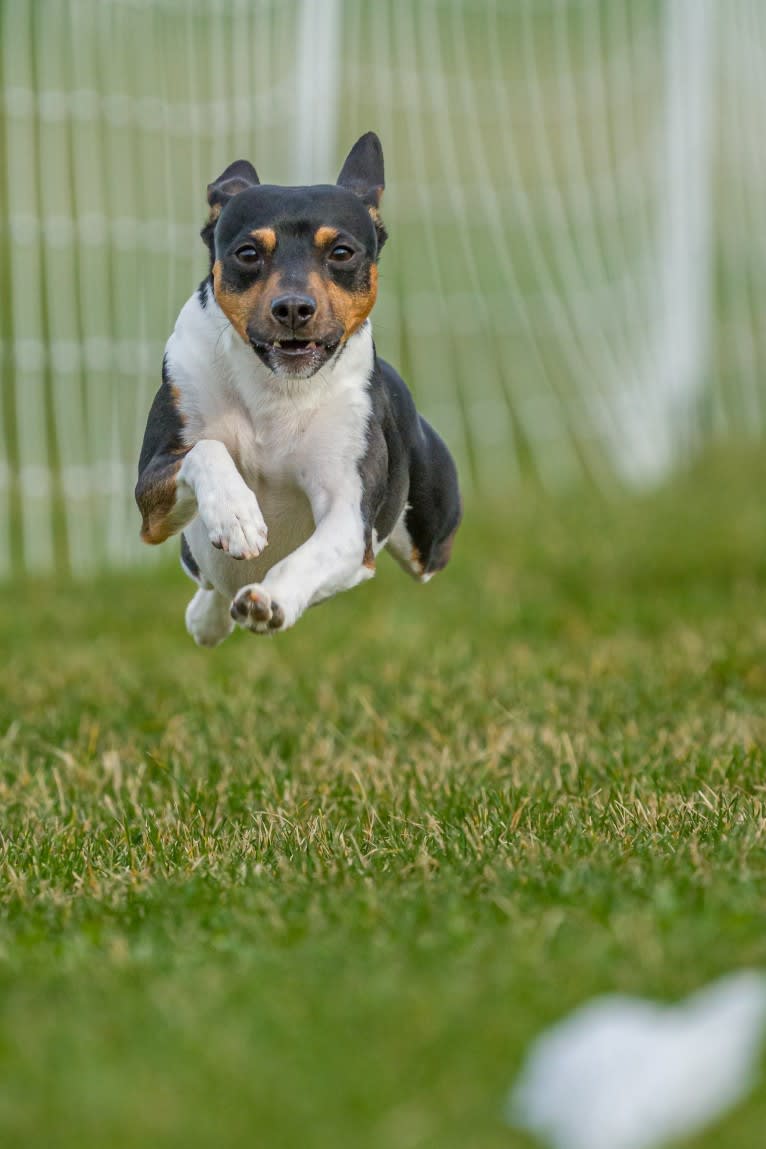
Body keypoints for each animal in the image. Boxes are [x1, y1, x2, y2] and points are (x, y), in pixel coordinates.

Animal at [134, 134, 461, 648]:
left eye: (341, 252)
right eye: (248, 253)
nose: (292, 308)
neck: (277, 390)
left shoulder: (348, 512)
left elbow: (314, 554)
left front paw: (270, 600)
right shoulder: (152, 499)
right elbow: (206, 449)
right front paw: (236, 517)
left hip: (430, 536)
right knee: (207, 580)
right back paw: (207, 618)